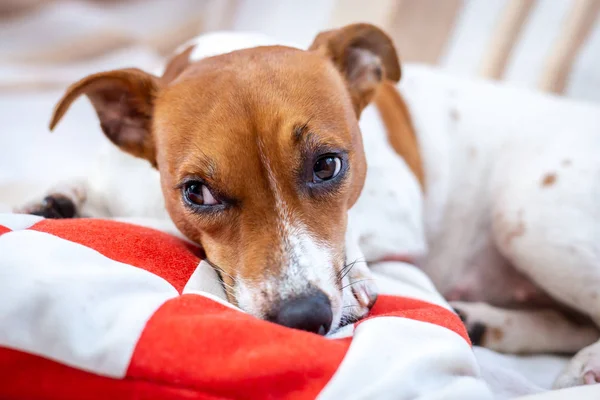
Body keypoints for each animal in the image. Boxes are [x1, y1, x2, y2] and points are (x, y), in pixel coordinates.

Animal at [14, 22, 600, 388]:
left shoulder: (399, 203)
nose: (303, 317)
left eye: (328, 166)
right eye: (196, 192)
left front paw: (357, 275)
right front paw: (58, 201)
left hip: (527, 216)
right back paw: (487, 323)